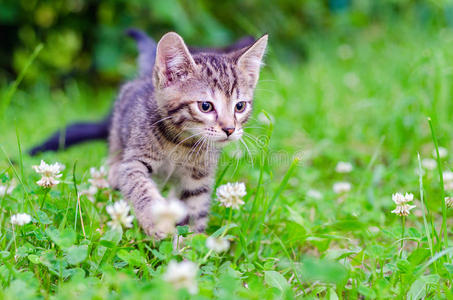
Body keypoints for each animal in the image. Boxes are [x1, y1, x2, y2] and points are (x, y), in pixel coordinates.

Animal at [107, 31, 266, 237]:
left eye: (240, 106)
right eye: (205, 106)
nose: (230, 129)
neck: (182, 142)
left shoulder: (198, 177)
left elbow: (195, 207)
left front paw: (193, 240)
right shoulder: (134, 162)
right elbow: (139, 186)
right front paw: (157, 221)